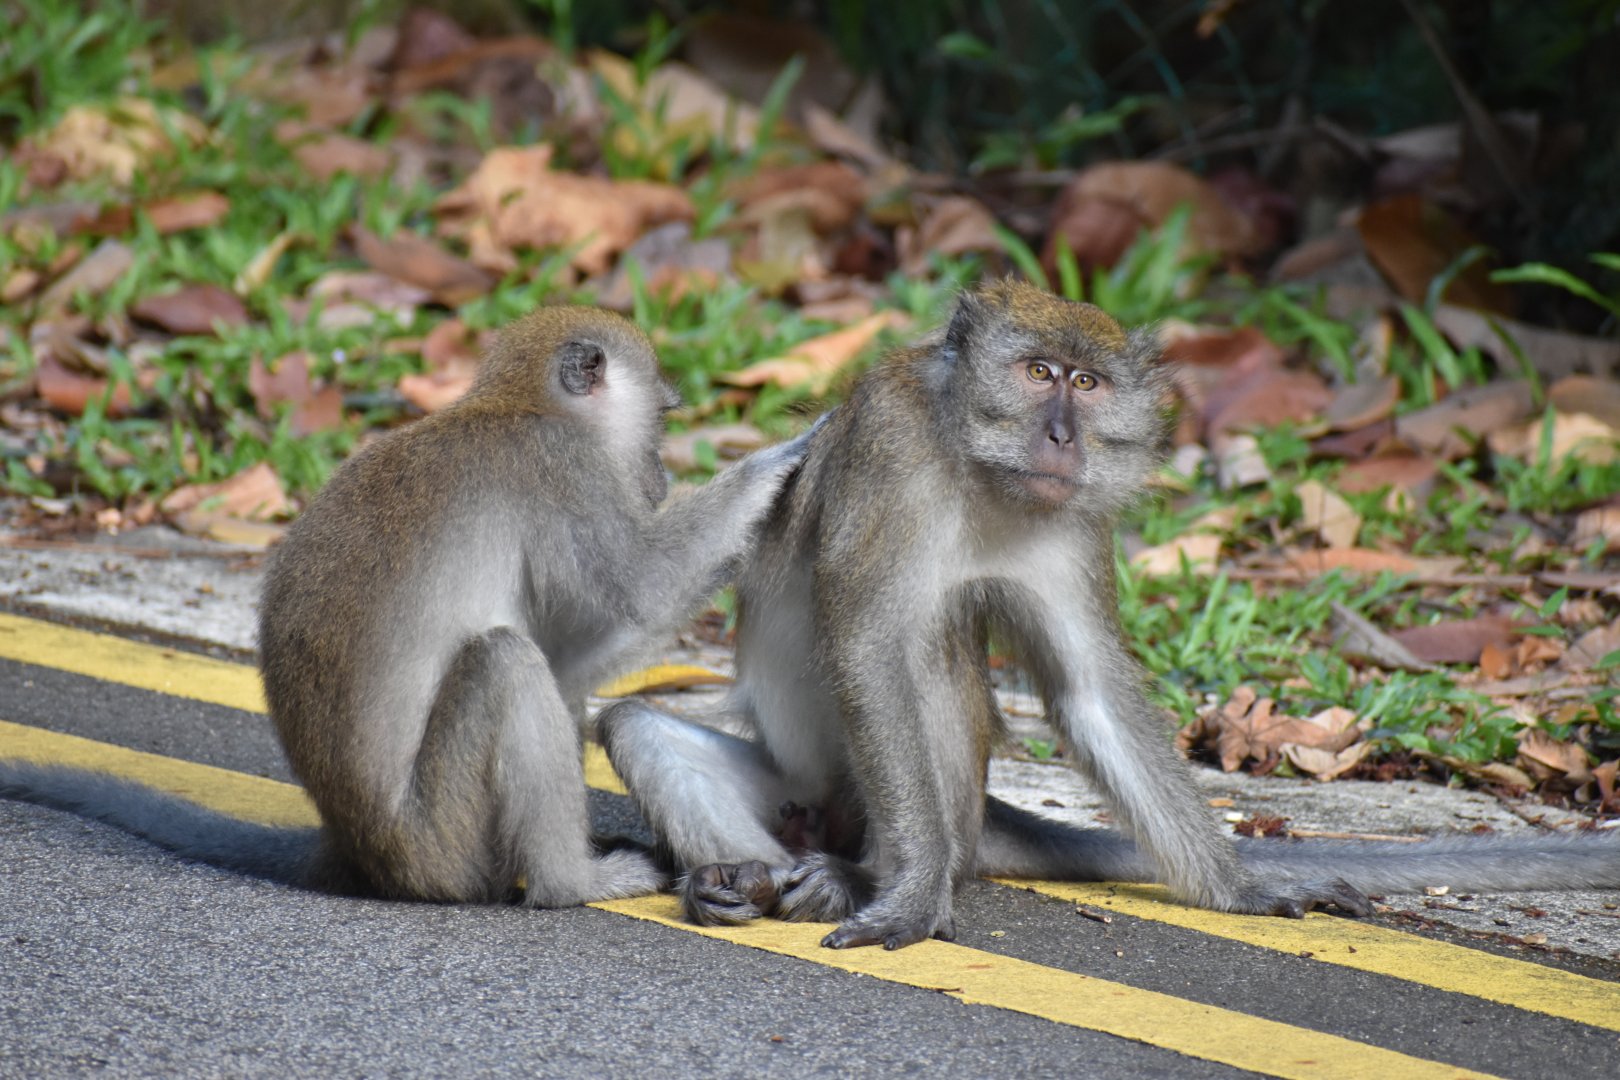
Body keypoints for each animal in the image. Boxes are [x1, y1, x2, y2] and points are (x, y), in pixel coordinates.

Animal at [0, 305, 816, 909]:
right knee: (506, 663)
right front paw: (777, 462)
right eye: (663, 422)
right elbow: (639, 589)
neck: (516, 403)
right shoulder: (569, 475)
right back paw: (571, 882)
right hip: (446, 834)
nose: (658, 474)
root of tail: (359, 847)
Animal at [598, 279, 1620, 950]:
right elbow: (868, 646)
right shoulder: (890, 448)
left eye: (1086, 385)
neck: (980, 469)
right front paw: (913, 896)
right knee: (643, 726)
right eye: (1038, 371)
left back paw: (856, 876)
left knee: (939, 647)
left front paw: (1239, 887)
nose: (1063, 436)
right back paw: (748, 879)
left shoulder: (1077, 522)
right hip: (796, 794)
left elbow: (1087, 690)